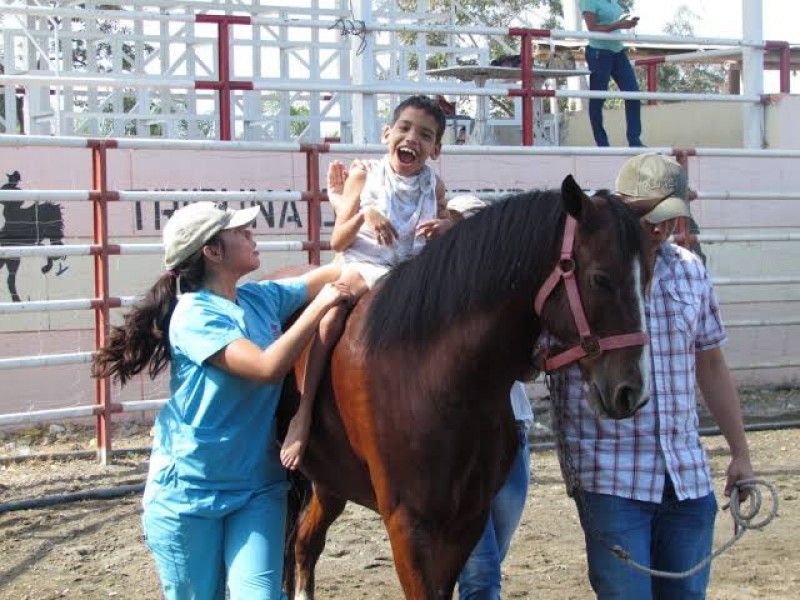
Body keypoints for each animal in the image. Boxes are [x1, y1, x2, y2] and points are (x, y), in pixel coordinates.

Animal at [278, 175, 652, 600]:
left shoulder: (467, 521)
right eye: (600, 278)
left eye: (648, 275)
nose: (632, 391)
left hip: (329, 484)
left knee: (304, 543)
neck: (434, 377)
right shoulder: (407, 525)